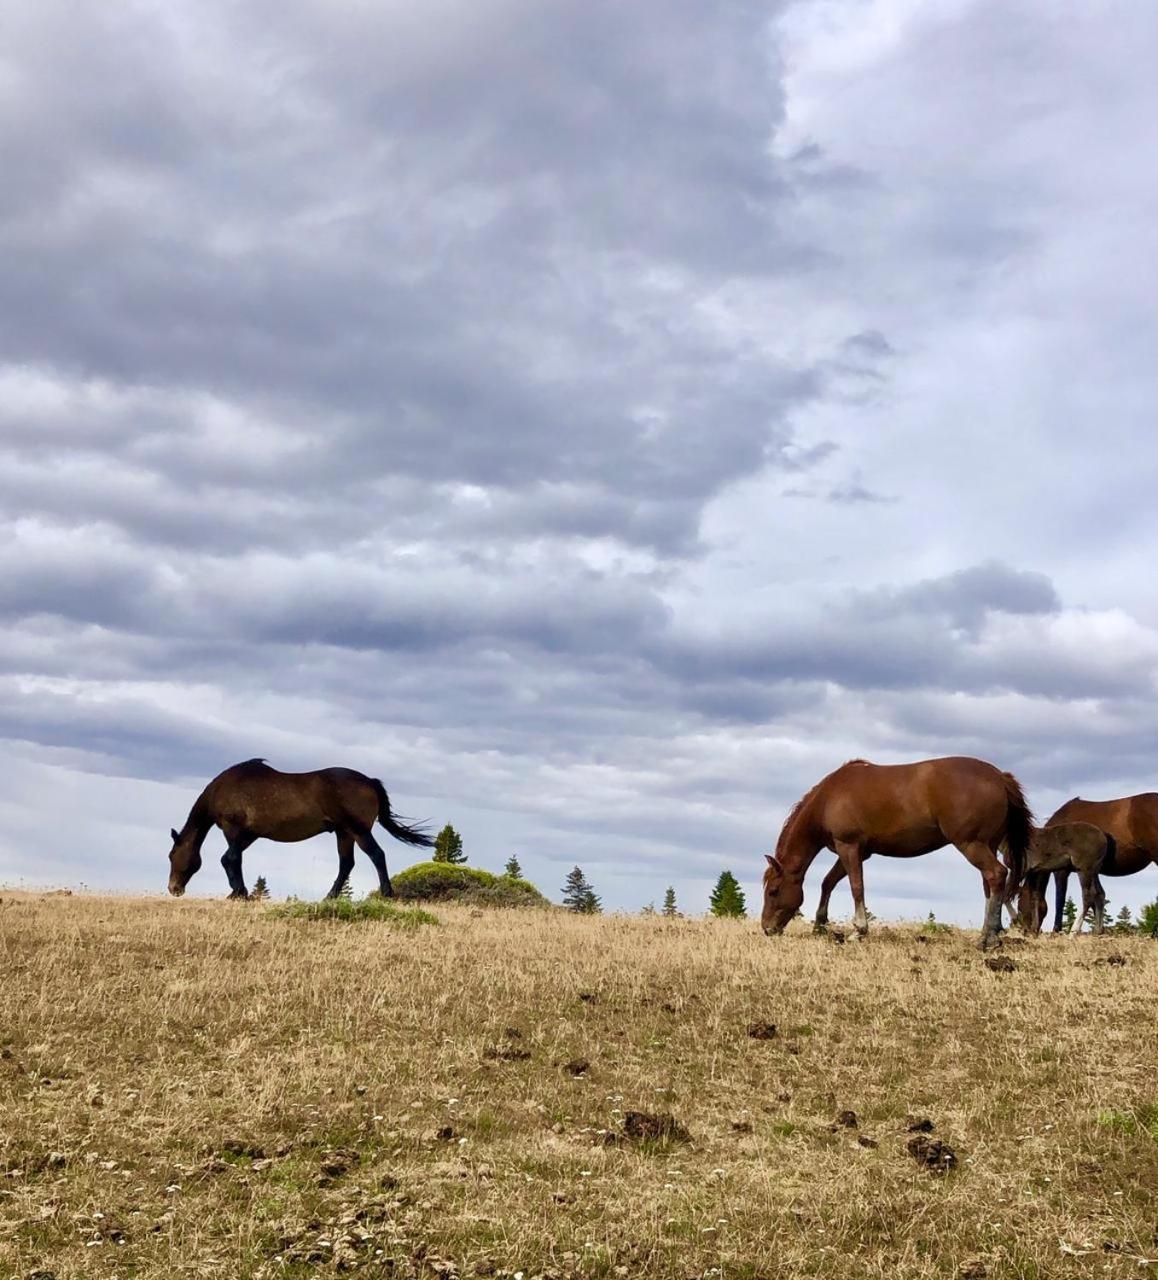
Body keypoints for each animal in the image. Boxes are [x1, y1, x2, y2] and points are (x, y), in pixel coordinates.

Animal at [165, 757, 432, 901]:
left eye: (171, 855)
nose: (173, 888)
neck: (223, 789)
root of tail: (370, 782)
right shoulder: (249, 835)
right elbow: (231, 858)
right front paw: (238, 893)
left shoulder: (233, 830)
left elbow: (230, 859)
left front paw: (240, 893)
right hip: (344, 833)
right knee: (346, 864)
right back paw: (329, 898)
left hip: (358, 831)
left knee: (376, 855)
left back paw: (387, 894)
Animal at [757, 757, 1028, 952]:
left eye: (773, 891)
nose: (767, 929)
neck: (828, 798)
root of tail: (999, 777)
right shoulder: (857, 852)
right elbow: (828, 883)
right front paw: (820, 924)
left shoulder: (849, 847)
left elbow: (856, 887)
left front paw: (859, 931)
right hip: (987, 845)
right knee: (989, 884)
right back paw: (993, 933)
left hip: (971, 844)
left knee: (996, 874)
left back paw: (986, 939)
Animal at [1039, 788, 1156, 931]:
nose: (1028, 931)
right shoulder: (1091, 870)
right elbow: (1098, 896)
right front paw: (1099, 931)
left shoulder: (1061, 871)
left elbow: (1060, 900)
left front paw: (1057, 930)